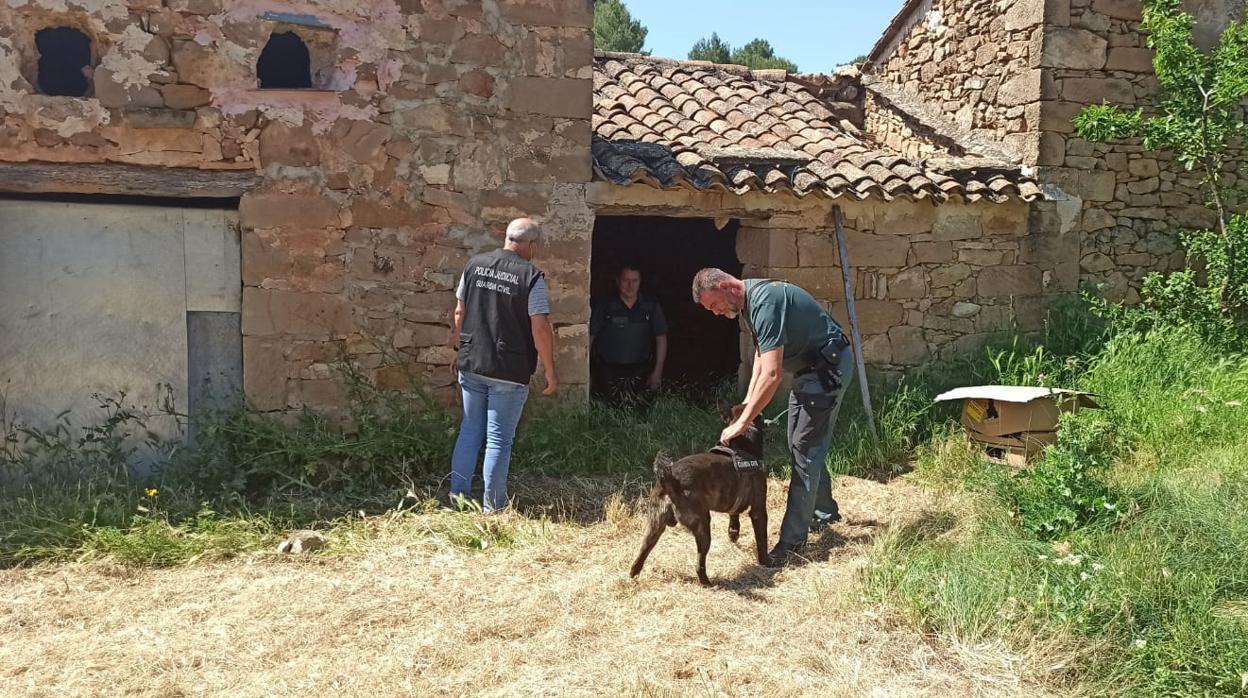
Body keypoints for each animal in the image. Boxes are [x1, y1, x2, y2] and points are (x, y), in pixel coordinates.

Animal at [628, 402, 763, 586]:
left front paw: (733, 534)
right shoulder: (758, 510)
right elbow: (762, 540)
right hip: (702, 526)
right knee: (699, 563)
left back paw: (633, 574)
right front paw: (767, 562)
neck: (741, 446)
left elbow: (733, 518)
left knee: (641, 554)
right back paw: (707, 582)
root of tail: (670, 480)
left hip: (654, 526)